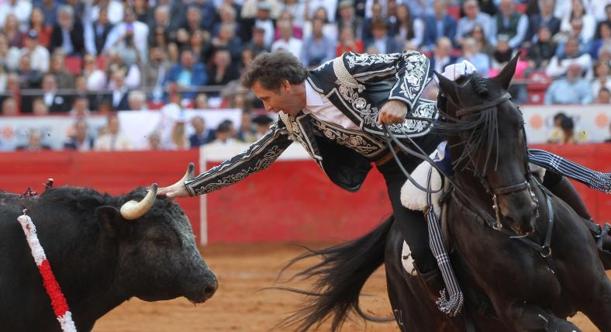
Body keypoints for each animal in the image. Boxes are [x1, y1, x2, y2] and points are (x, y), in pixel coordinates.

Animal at [282, 57, 611, 332]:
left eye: (519, 122)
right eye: (471, 137)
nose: (520, 213)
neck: (535, 241)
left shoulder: (597, 292)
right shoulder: (521, 311)